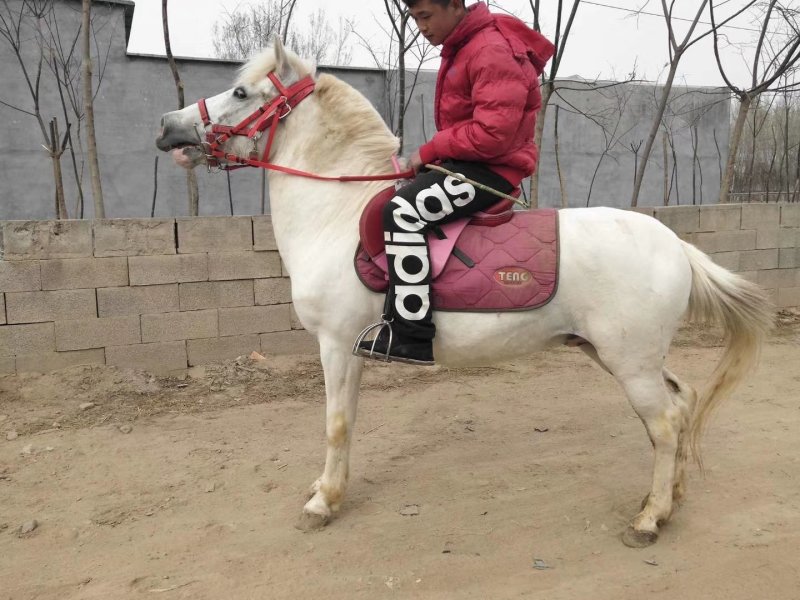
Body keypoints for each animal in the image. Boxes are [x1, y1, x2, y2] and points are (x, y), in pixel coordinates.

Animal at [155, 38, 773, 548]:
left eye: (240, 91)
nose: (167, 126)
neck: (336, 215)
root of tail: (676, 245)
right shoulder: (348, 351)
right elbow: (345, 421)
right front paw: (327, 489)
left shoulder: (336, 345)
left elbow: (336, 424)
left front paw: (323, 503)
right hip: (621, 355)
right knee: (683, 402)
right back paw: (669, 501)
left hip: (631, 363)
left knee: (664, 423)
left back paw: (647, 519)